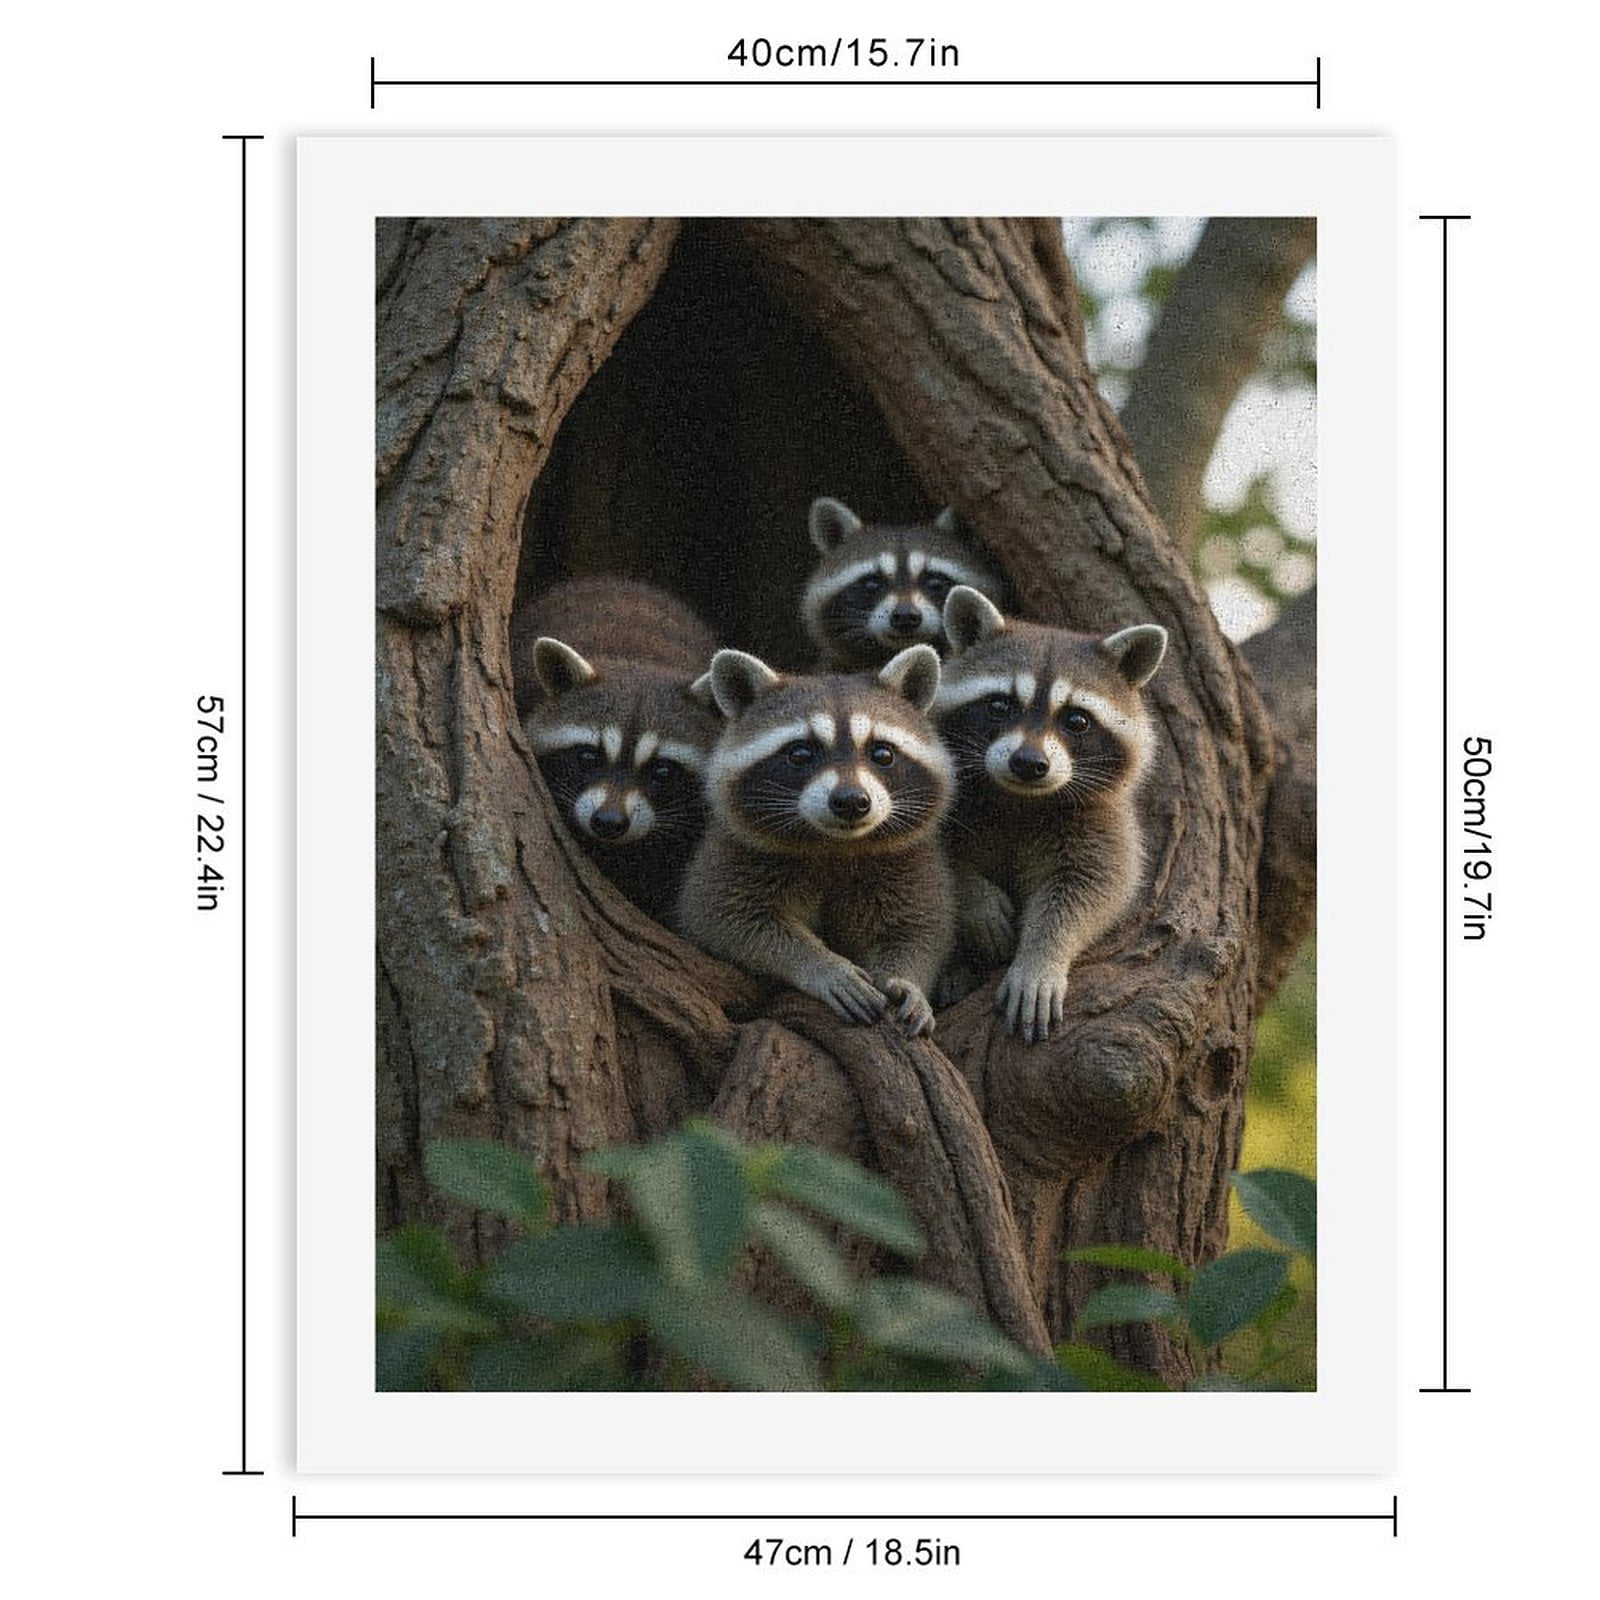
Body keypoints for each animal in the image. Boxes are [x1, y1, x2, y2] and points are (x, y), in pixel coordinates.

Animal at [677, 645, 955, 1037]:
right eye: (799, 754)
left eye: (882, 754)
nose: (852, 801)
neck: (835, 844)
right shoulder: (734, 854)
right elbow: (724, 919)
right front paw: (821, 964)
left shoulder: (908, 863)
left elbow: (917, 930)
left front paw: (908, 981)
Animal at [933, 585, 1168, 1043]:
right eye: (1000, 706)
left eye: (1076, 720)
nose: (1028, 763)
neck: (1019, 796)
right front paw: (975, 896)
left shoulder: (1101, 819)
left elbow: (1089, 888)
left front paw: (1041, 960)